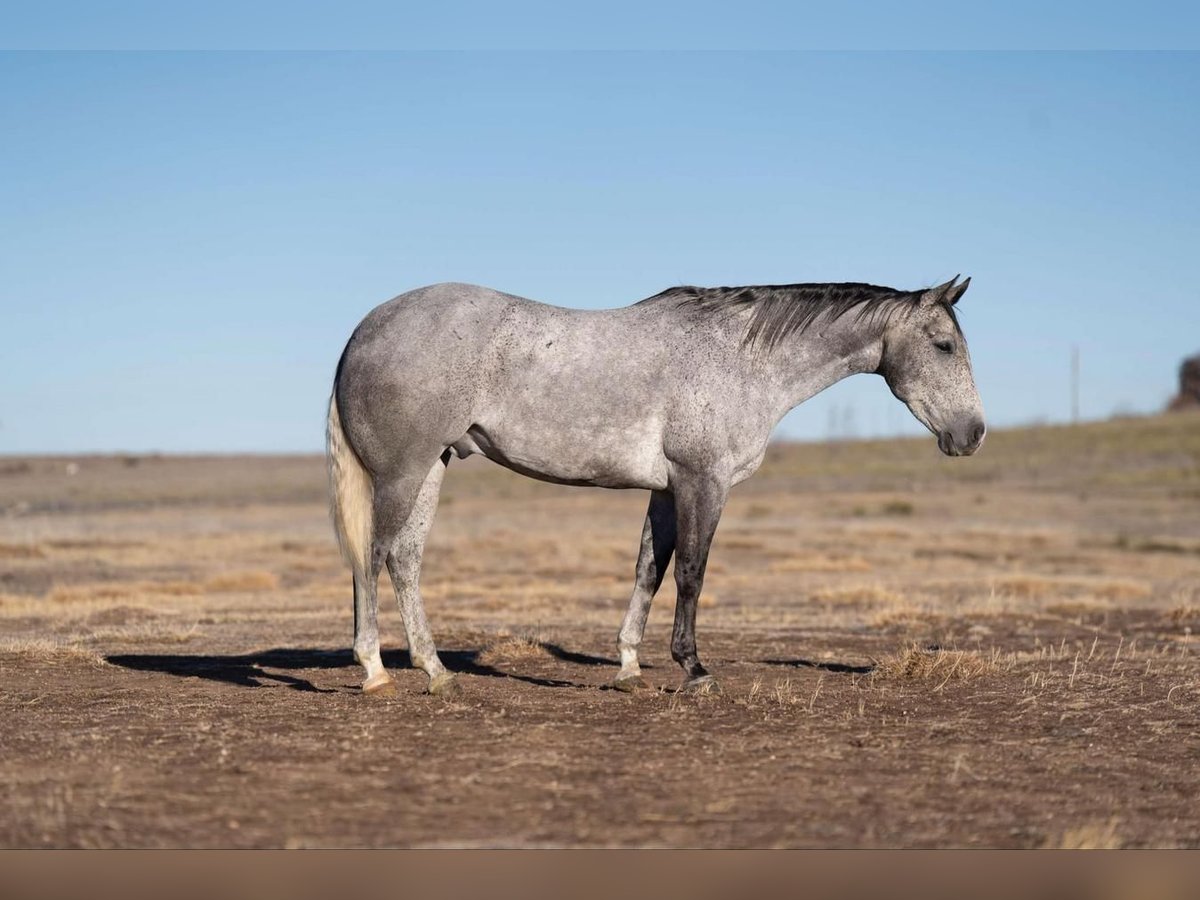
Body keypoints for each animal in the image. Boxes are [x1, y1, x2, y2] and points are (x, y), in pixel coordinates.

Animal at [328, 274, 984, 696]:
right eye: (944, 344)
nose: (973, 434)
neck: (740, 358)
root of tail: (364, 328)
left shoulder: (666, 490)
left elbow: (650, 567)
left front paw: (628, 666)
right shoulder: (703, 482)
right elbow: (692, 571)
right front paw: (694, 670)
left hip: (432, 467)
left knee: (405, 560)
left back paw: (435, 671)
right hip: (401, 473)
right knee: (373, 557)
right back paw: (376, 671)